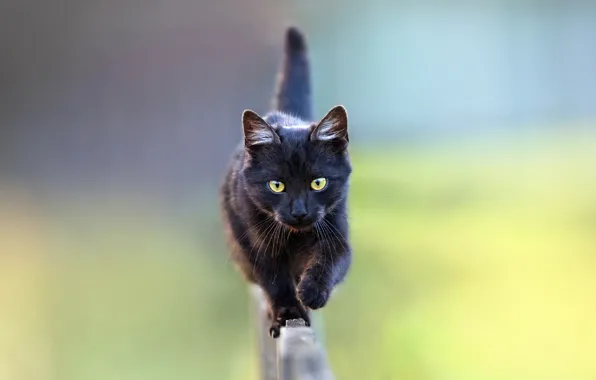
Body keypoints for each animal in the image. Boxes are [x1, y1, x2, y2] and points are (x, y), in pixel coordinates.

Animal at [219, 27, 352, 338]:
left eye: (318, 183)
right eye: (276, 185)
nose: (299, 211)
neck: (294, 236)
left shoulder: (336, 231)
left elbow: (332, 260)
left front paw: (312, 292)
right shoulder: (256, 241)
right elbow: (273, 279)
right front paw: (288, 312)